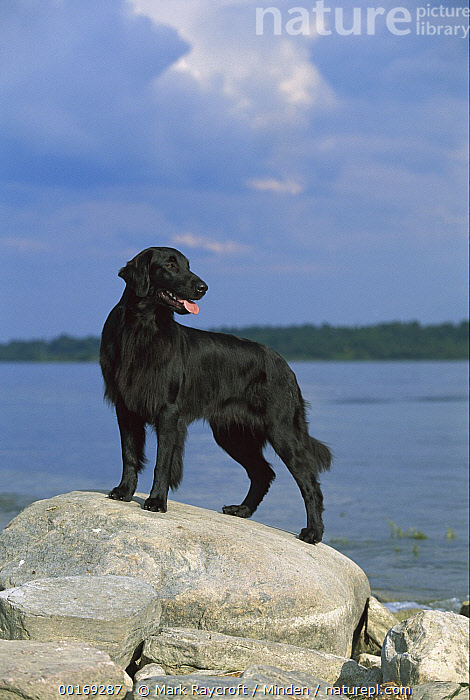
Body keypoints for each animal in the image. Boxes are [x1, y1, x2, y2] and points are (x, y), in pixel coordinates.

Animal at [101, 249, 332, 544]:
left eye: (188, 265)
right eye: (170, 265)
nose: (203, 288)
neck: (143, 327)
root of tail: (284, 364)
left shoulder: (168, 411)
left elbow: (162, 461)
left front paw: (156, 501)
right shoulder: (125, 407)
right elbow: (129, 454)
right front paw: (124, 491)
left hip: (282, 431)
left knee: (309, 482)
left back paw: (313, 531)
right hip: (232, 434)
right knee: (263, 473)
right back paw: (242, 510)